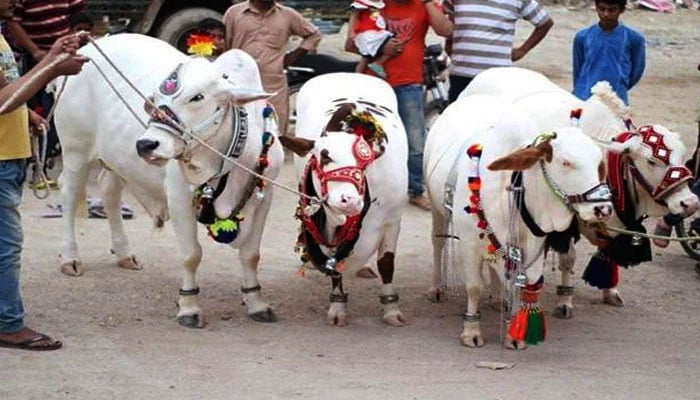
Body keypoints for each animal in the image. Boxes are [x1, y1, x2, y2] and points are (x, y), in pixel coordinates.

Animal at [52, 34, 282, 326]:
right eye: (154, 99)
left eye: (197, 97)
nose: (146, 144)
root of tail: (87, 48)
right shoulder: (179, 196)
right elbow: (191, 255)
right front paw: (189, 307)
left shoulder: (265, 195)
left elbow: (251, 255)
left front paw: (256, 302)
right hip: (75, 150)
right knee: (69, 193)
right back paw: (70, 257)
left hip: (116, 158)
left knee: (109, 190)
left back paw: (124, 253)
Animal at [278, 73, 410, 326]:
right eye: (323, 157)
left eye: (365, 161)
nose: (348, 200)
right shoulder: (327, 229)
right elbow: (334, 265)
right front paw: (338, 308)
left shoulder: (393, 220)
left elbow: (386, 264)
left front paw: (392, 310)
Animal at [422, 93, 612, 346]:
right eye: (565, 162)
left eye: (599, 162)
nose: (602, 208)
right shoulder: (470, 244)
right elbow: (474, 287)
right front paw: (471, 331)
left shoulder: (533, 246)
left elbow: (522, 284)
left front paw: (514, 332)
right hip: (436, 209)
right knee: (438, 243)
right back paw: (435, 288)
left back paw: (497, 298)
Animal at [462, 66, 696, 316]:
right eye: (652, 161)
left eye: (682, 155)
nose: (690, 203)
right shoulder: (563, 225)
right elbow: (568, 259)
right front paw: (565, 301)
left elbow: (608, 252)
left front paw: (610, 291)